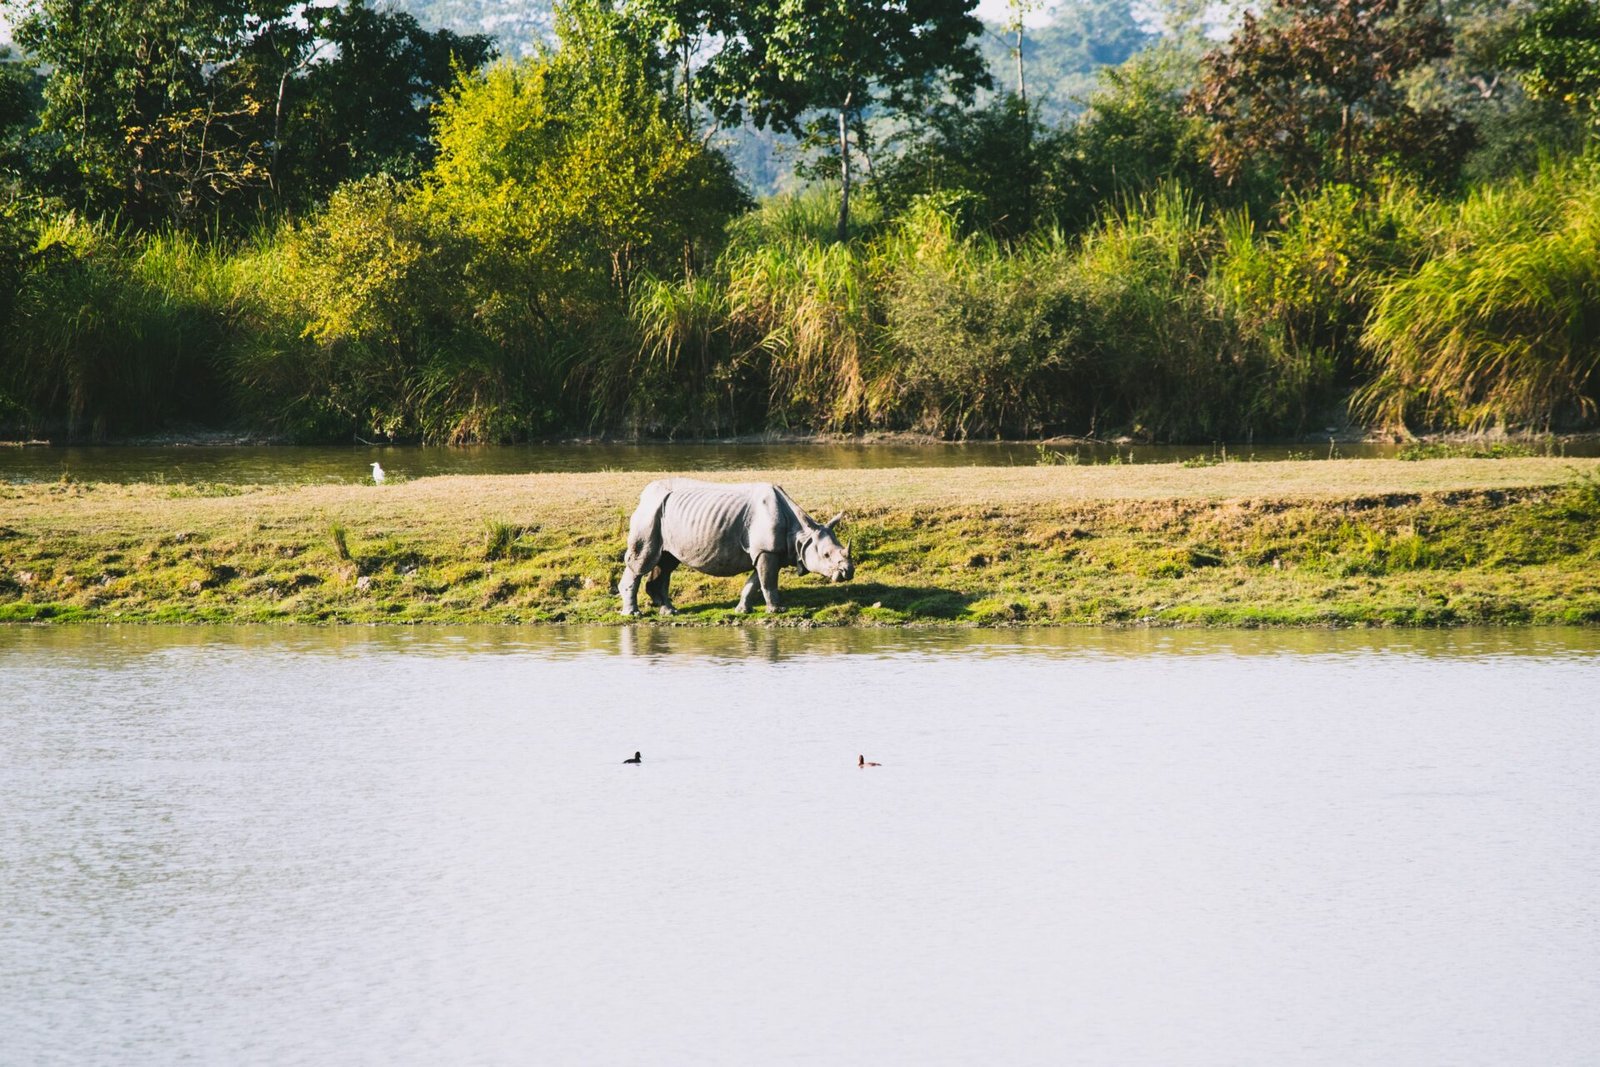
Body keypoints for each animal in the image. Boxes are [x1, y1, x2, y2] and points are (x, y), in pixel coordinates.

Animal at [618, 478, 854, 616]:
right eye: (826, 555)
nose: (848, 572)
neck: (801, 535)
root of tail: (644, 494)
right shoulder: (767, 550)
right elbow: (768, 582)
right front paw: (777, 610)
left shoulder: (766, 552)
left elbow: (755, 582)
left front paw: (742, 610)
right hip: (650, 513)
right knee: (644, 560)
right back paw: (634, 614)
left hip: (663, 515)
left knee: (666, 560)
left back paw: (669, 611)